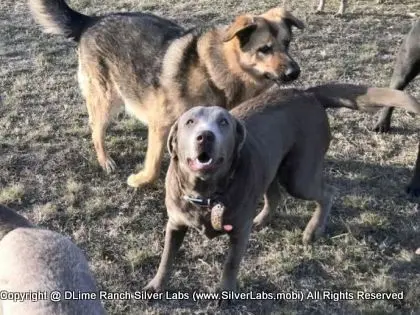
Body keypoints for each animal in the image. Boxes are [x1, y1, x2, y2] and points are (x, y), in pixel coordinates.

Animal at [30, 0, 306, 188]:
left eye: (287, 44)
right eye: (264, 49)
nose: (295, 72)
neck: (214, 71)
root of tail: (90, 21)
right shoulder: (161, 125)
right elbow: (153, 166)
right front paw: (140, 180)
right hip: (106, 100)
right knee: (96, 131)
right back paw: (105, 160)